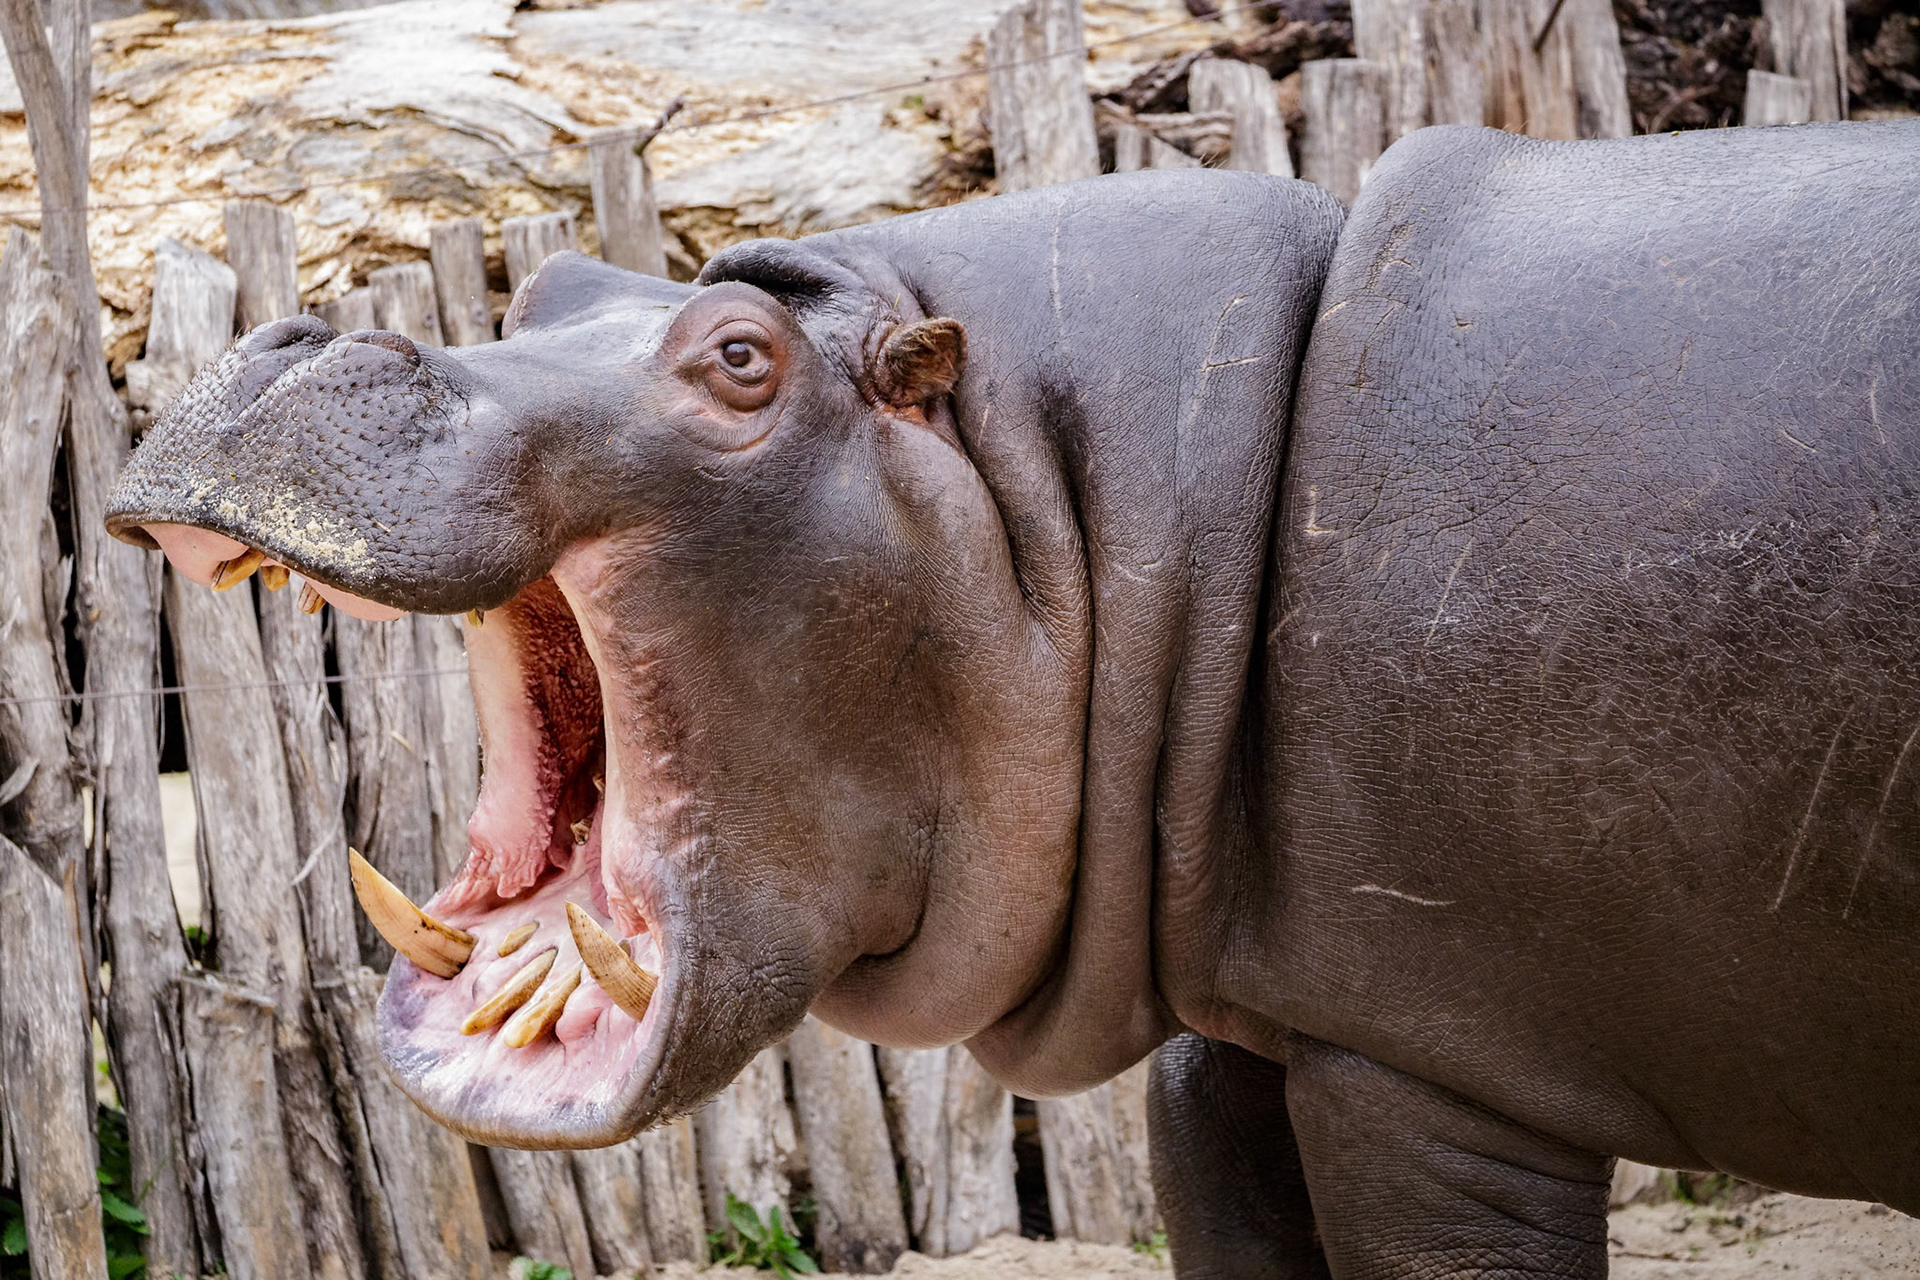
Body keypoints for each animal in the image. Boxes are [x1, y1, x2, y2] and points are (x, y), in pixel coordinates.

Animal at [107, 119, 1920, 1278]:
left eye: (743, 359)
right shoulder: (1254, 1034)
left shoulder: (1436, 1062)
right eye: (554, 291)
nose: (292, 346)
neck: (1065, 492)